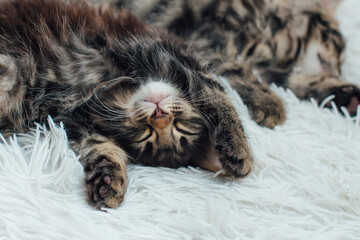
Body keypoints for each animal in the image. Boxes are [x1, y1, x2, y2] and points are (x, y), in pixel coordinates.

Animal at [96, 0, 360, 119]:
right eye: (339, 47)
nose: (337, 71)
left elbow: (295, 81)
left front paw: (345, 96)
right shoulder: (203, 42)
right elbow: (241, 70)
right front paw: (268, 104)